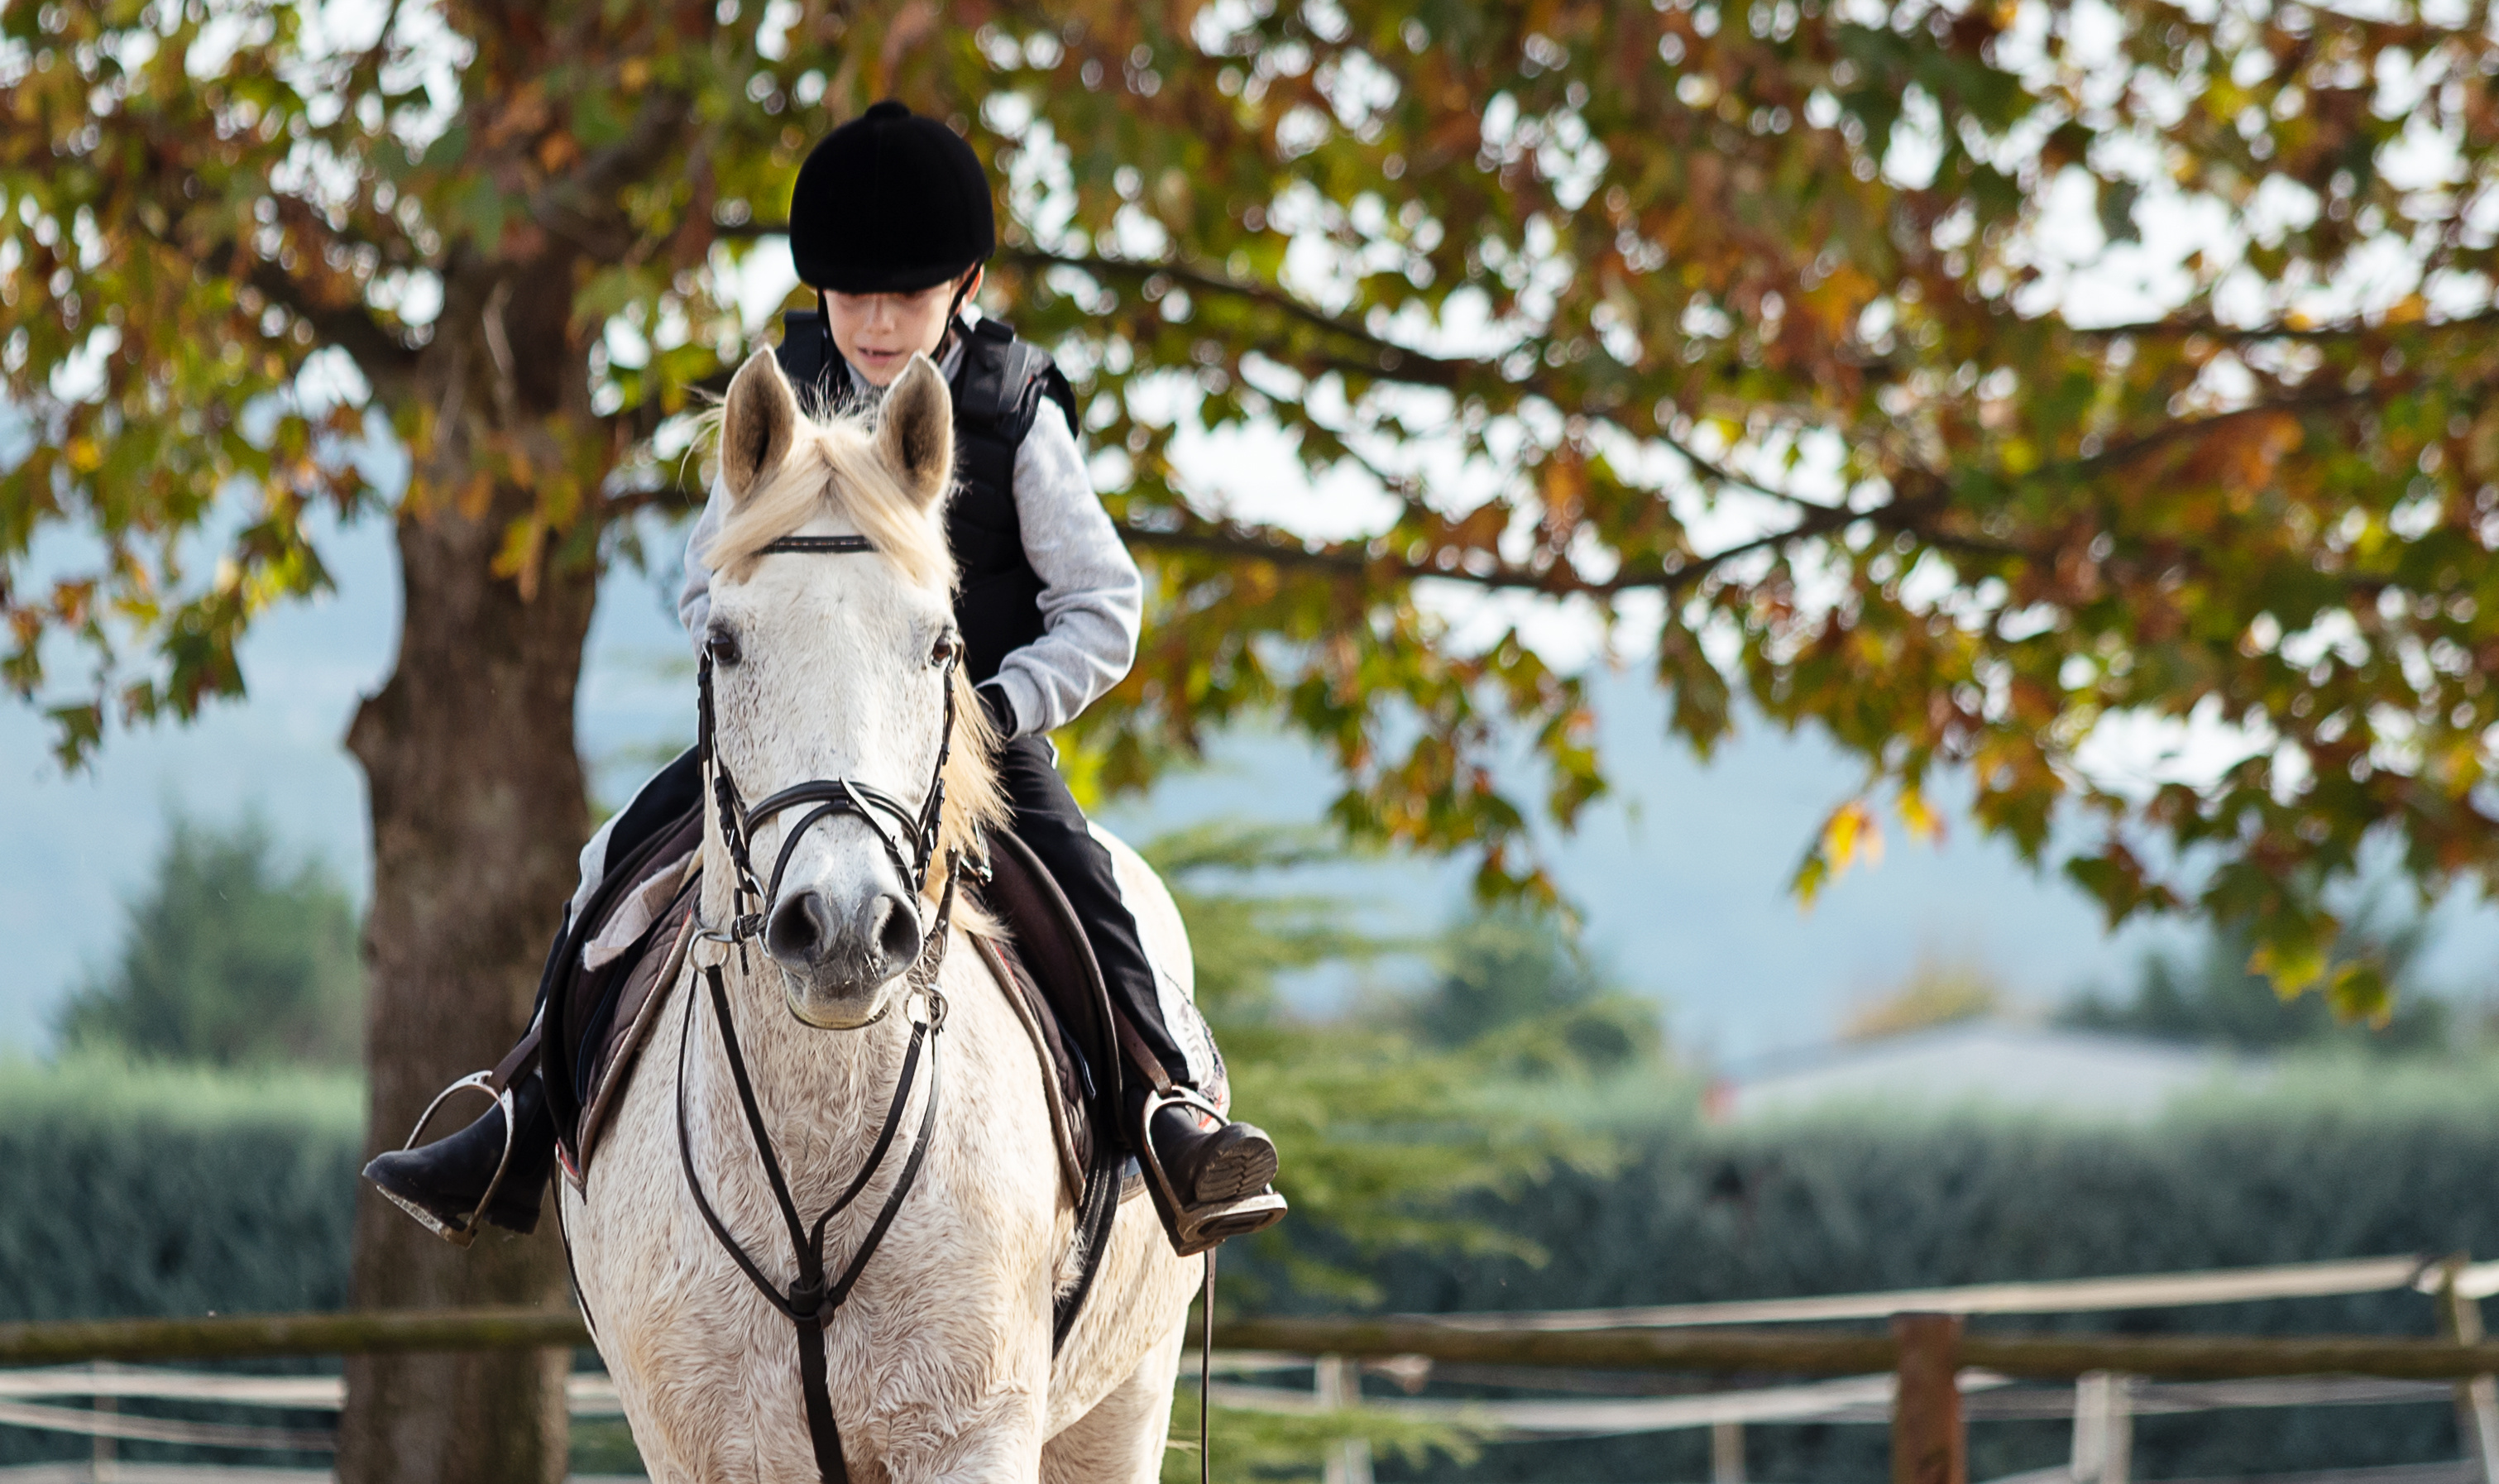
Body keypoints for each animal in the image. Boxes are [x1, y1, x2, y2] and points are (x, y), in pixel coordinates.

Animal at [559, 344, 1199, 1478]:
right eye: (724, 643)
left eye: (941, 645)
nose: (845, 929)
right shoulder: (704, 1448)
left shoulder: (976, 1433)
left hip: (1129, 1399)